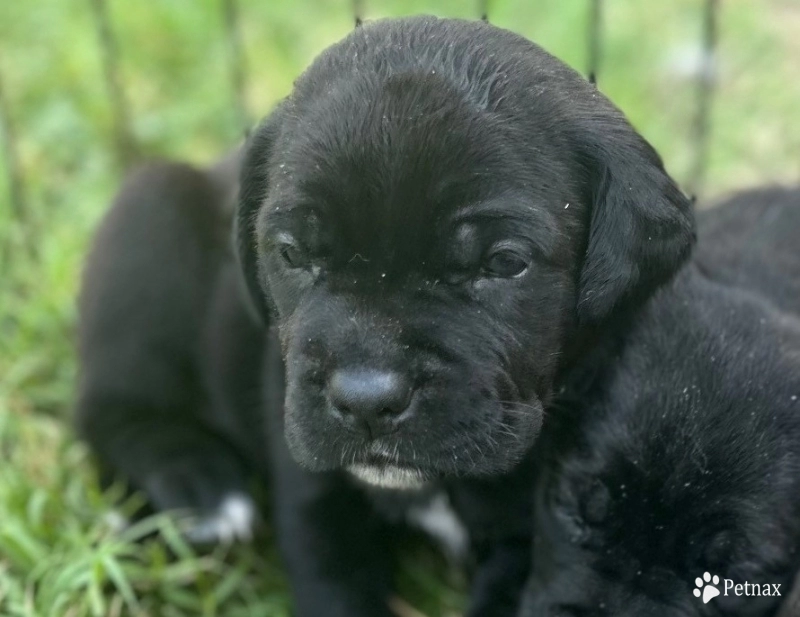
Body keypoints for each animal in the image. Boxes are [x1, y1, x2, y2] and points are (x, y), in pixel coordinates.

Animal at [78, 14, 696, 616]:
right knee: (107, 409)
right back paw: (198, 486)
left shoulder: (535, 539)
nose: (365, 400)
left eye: (504, 263)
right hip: (149, 216)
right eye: (292, 254)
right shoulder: (317, 502)